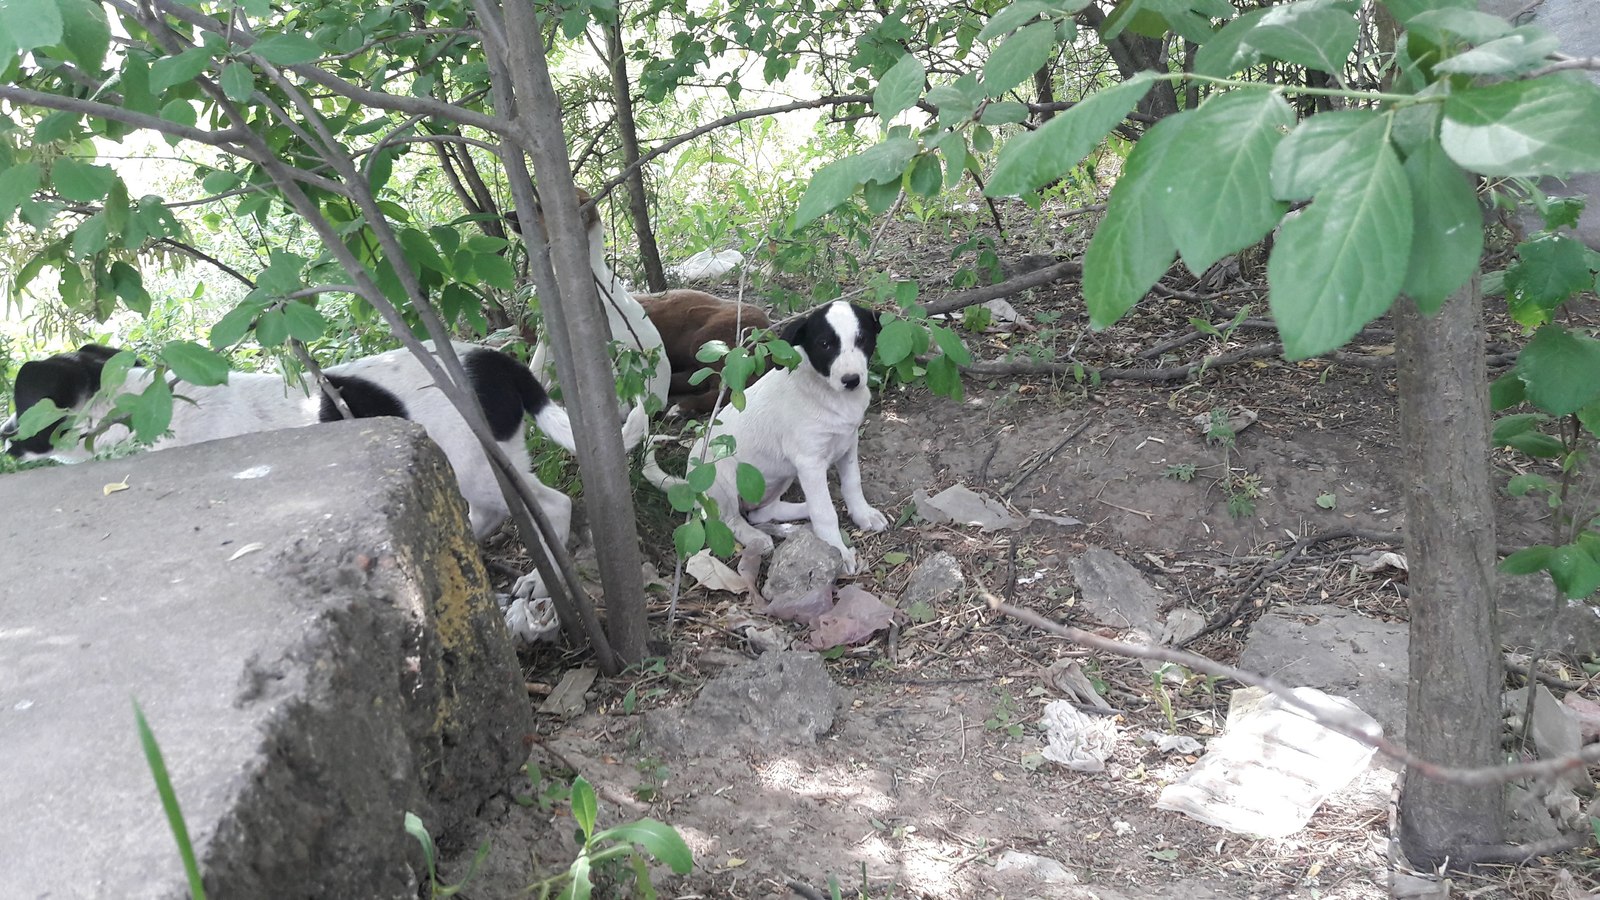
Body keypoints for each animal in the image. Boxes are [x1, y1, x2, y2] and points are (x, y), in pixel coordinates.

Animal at [7, 339, 643, 611]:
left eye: (23, 402)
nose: (5, 436)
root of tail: (494, 360)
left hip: (484, 464)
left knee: (552, 505)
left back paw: (538, 577)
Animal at [640, 299, 889, 566]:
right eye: (824, 344)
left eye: (862, 339)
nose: (851, 380)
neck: (830, 395)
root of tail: (690, 482)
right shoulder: (810, 463)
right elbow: (824, 513)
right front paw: (838, 550)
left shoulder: (848, 443)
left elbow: (852, 483)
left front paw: (863, 514)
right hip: (723, 478)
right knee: (730, 519)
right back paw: (756, 537)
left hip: (782, 475)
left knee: (763, 512)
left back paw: (802, 510)